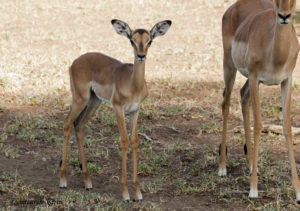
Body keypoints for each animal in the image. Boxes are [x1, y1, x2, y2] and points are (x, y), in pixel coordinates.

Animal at [59, 19, 171, 201]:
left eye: (149, 41)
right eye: (132, 40)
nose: (141, 56)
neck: (133, 85)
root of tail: (75, 61)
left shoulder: (135, 111)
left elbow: (135, 141)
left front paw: (138, 192)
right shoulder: (118, 108)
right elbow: (124, 141)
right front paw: (125, 193)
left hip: (93, 102)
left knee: (79, 126)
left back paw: (88, 182)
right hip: (80, 99)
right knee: (67, 123)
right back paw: (63, 180)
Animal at [219, 0, 298, 203]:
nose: (284, 16)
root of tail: (235, 6)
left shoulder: (286, 81)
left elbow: (287, 128)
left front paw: (298, 192)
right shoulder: (256, 78)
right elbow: (259, 125)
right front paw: (253, 190)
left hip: (247, 79)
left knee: (242, 96)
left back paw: (250, 164)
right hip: (229, 66)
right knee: (226, 103)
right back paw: (222, 167)